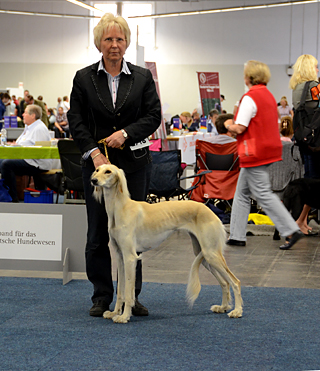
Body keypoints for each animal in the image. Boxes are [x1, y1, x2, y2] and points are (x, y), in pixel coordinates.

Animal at [90, 164, 242, 324]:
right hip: (205, 255)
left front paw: (124, 316)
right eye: (97, 170)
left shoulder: (130, 257)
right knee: (225, 282)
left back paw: (237, 311)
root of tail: (211, 211)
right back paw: (223, 307)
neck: (119, 209)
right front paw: (114, 313)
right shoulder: (120, 257)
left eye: (108, 172)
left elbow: (128, 292)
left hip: (211, 253)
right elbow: (120, 290)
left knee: (235, 281)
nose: (93, 181)